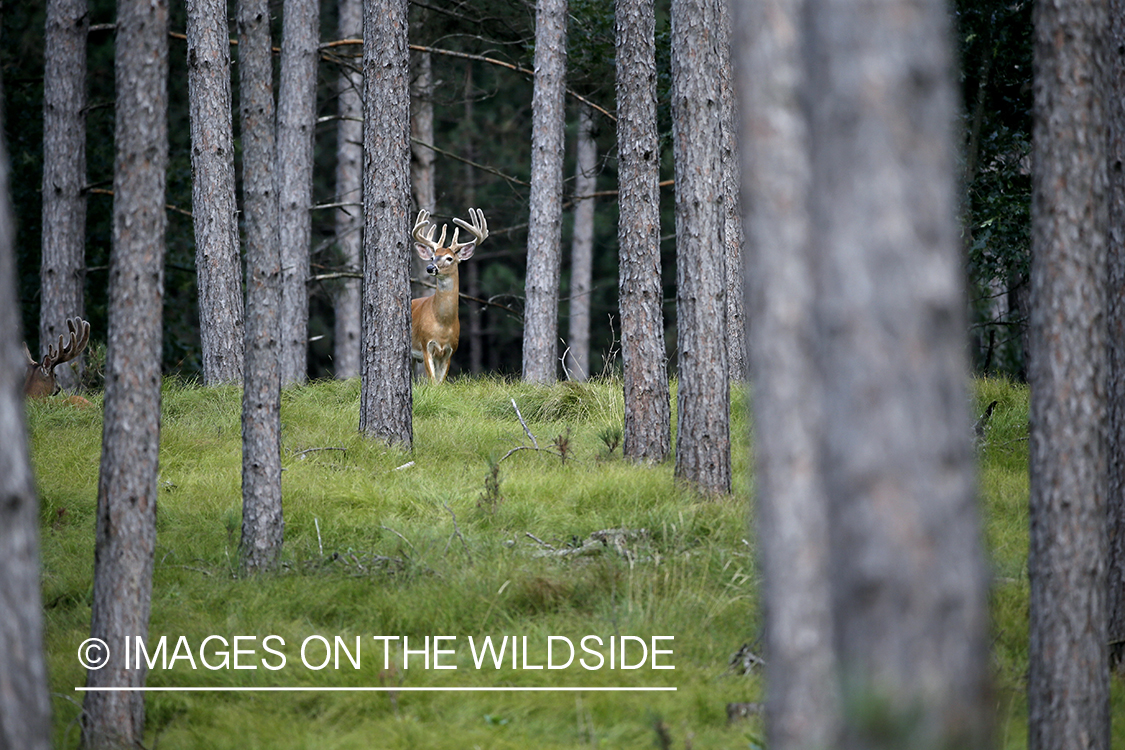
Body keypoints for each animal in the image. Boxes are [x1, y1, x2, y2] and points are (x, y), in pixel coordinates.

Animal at [411, 206, 486, 384]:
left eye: (450, 258)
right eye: (432, 257)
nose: (430, 268)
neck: (443, 324)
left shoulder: (450, 350)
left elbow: (440, 383)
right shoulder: (426, 344)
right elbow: (432, 381)